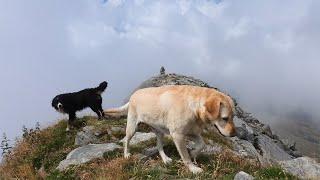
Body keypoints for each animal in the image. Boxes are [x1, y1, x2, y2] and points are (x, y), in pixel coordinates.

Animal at [105, 85, 235, 174]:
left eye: (233, 117)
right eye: (225, 118)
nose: (234, 134)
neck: (193, 106)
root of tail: (133, 95)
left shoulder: (192, 133)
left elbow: (202, 144)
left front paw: (193, 153)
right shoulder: (178, 135)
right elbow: (185, 157)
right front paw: (193, 168)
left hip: (159, 132)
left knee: (159, 146)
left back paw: (165, 159)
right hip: (132, 127)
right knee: (126, 140)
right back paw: (126, 154)